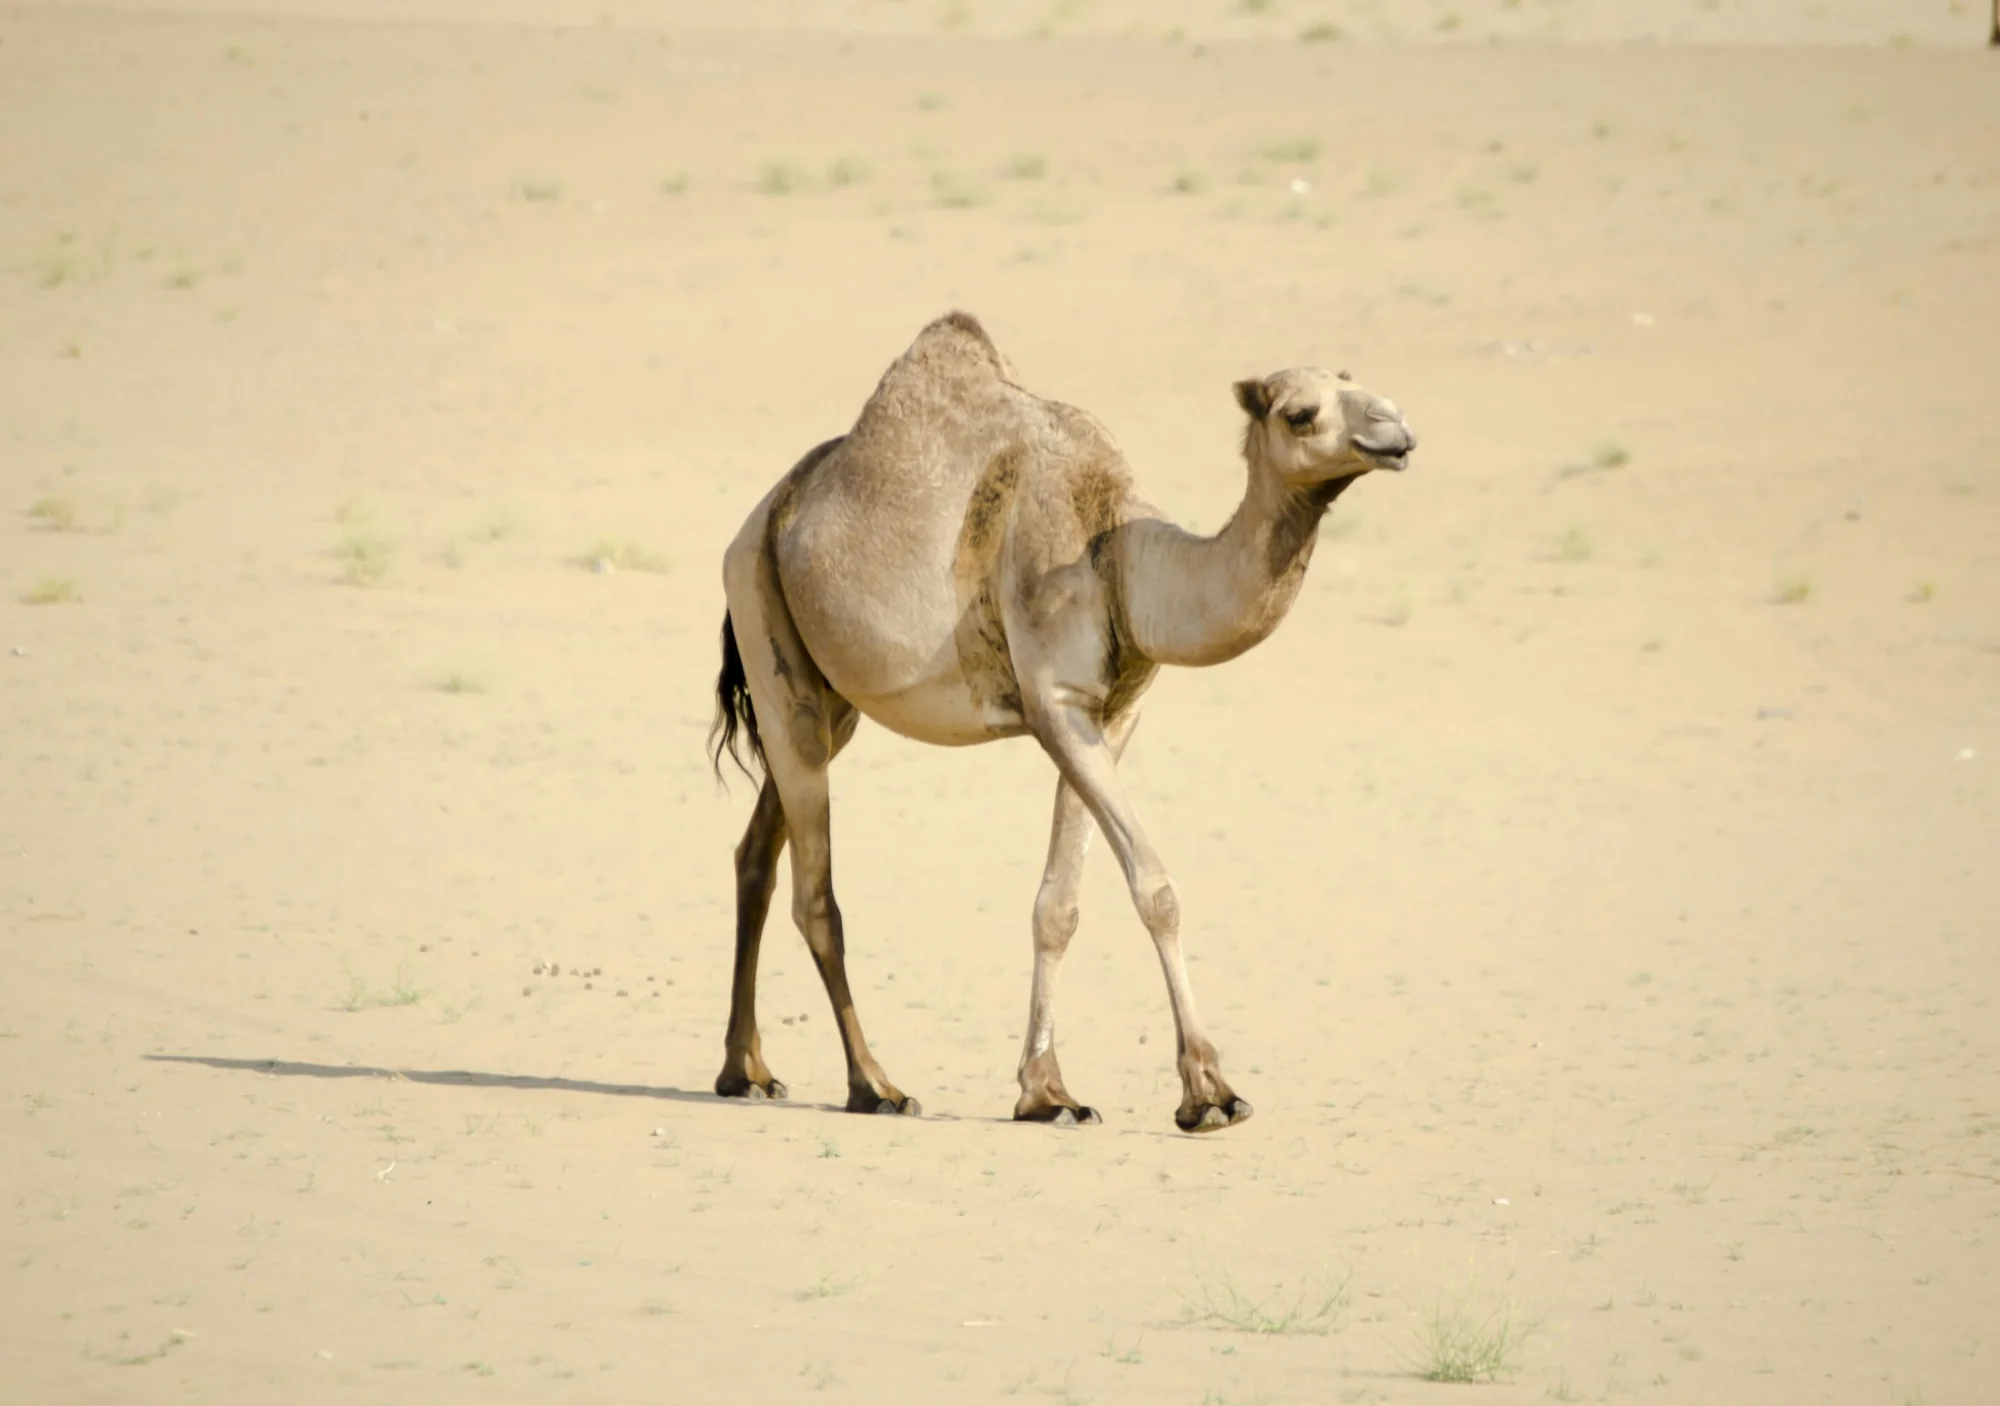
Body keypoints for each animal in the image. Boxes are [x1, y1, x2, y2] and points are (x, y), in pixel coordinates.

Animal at [707, 312, 1414, 1133]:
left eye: (1360, 386)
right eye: (1301, 414)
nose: (1397, 430)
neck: (1121, 556)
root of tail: (760, 516)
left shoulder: (1113, 713)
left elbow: (1059, 906)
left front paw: (1048, 1094)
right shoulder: (1057, 703)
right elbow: (1154, 886)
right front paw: (1209, 1092)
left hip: (826, 697)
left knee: (755, 852)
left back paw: (746, 1071)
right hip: (763, 618)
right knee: (816, 893)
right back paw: (874, 1085)